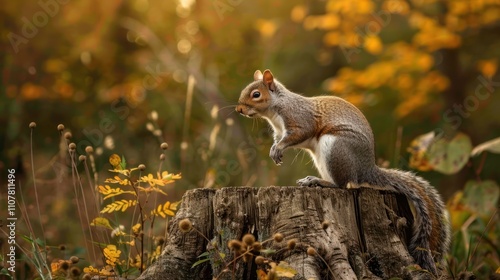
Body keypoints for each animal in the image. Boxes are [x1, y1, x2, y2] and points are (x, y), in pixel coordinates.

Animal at [236, 69, 452, 274]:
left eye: (256, 94)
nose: (239, 109)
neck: (276, 109)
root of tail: (366, 168)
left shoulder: (299, 119)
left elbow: (299, 133)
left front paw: (279, 148)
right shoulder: (279, 131)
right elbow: (278, 139)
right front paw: (275, 150)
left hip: (334, 148)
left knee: (342, 185)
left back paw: (319, 182)